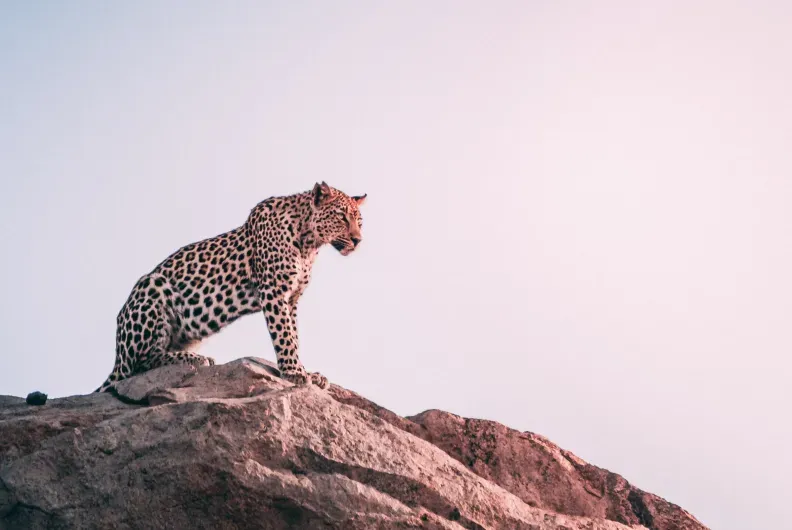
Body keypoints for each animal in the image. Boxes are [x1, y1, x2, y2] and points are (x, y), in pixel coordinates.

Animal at [96, 182, 366, 392]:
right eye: (341, 217)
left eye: (360, 221)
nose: (358, 240)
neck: (309, 243)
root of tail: (117, 356)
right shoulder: (274, 292)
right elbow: (284, 335)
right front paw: (294, 373)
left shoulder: (292, 299)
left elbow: (295, 335)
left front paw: (305, 370)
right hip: (152, 287)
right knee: (140, 364)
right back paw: (196, 359)